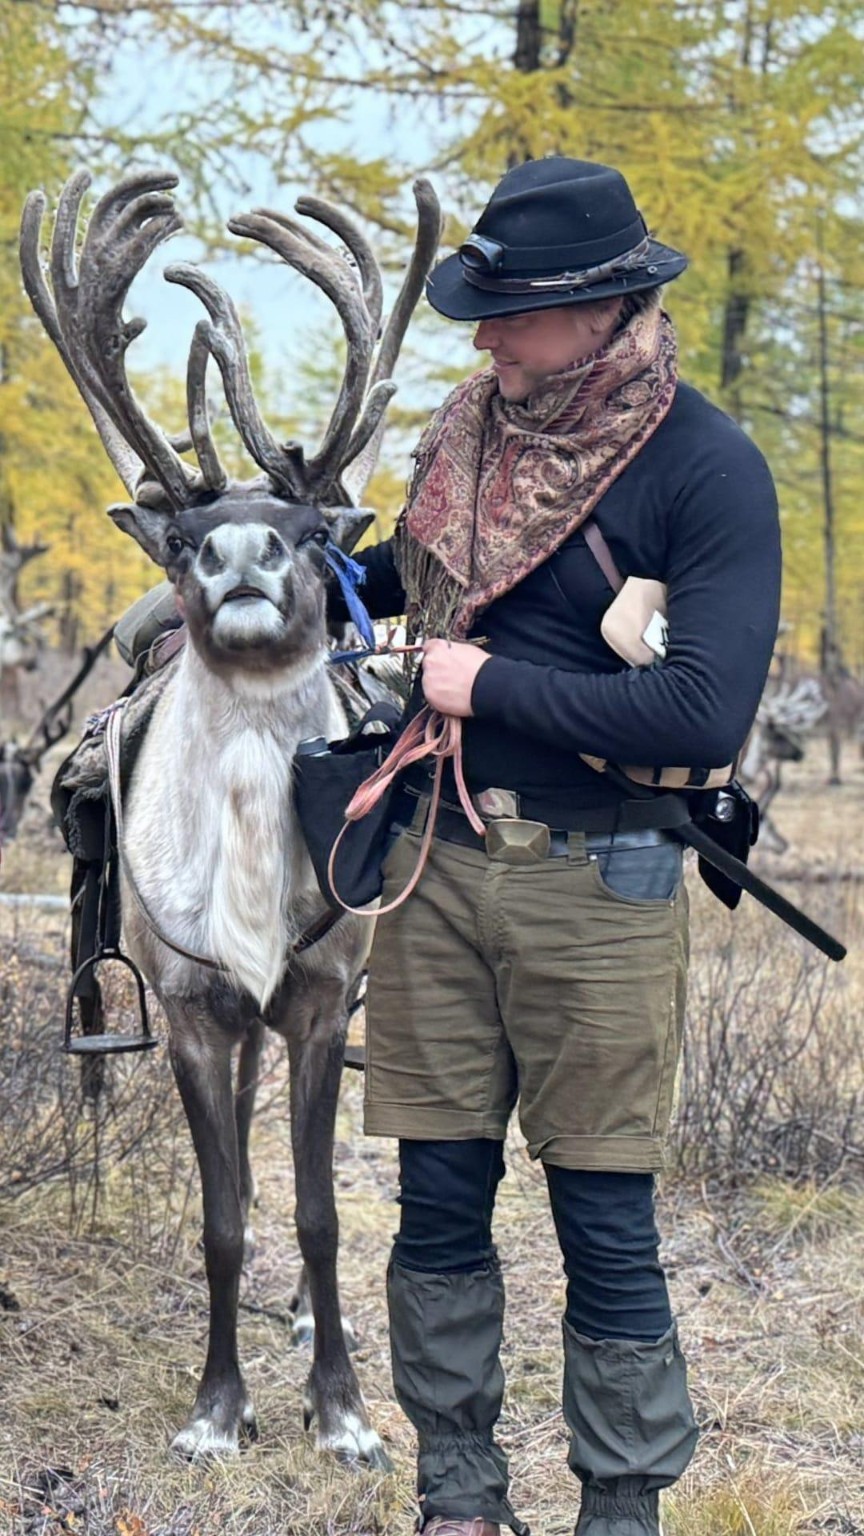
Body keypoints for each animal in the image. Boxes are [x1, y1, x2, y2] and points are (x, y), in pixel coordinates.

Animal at [20, 166, 440, 1463]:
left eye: (308, 534)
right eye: (186, 538)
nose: (243, 552)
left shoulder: (315, 998)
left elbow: (318, 1211)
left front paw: (343, 1412)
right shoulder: (200, 1008)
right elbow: (221, 1215)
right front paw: (217, 1414)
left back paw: (302, 1319)